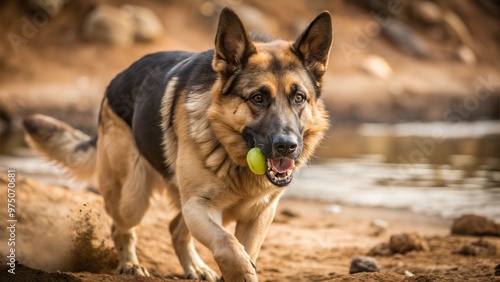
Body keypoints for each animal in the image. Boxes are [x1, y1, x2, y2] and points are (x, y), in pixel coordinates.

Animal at [25, 7, 334, 280]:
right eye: (258, 98)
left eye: (299, 98)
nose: (287, 146)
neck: (233, 157)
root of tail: (117, 79)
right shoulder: (198, 206)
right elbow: (228, 245)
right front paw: (242, 272)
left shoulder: (258, 216)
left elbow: (245, 250)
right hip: (133, 198)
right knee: (121, 227)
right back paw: (130, 264)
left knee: (175, 229)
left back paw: (194, 268)